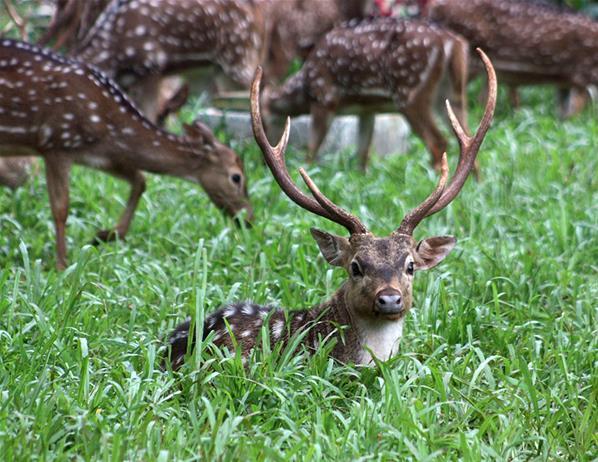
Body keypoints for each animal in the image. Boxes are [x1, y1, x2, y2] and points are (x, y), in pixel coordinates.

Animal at [0, 39, 253, 270]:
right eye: (236, 177)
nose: (249, 219)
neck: (109, 124)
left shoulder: (97, 154)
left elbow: (140, 180)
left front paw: (104, 235)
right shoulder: (56, 143)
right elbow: (61, 208)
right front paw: (62, 265)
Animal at [262, 16, 474, 172]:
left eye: (263, 122)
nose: (263, 163)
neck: (305, 87)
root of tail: (452, 41)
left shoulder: (325, 98)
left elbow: (312, 149)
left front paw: (308, 173)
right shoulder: (366, 110)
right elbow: (362, 153)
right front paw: (360, 177)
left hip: (410, 91)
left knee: (438, 141)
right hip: (451, 93)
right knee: (467, 135)